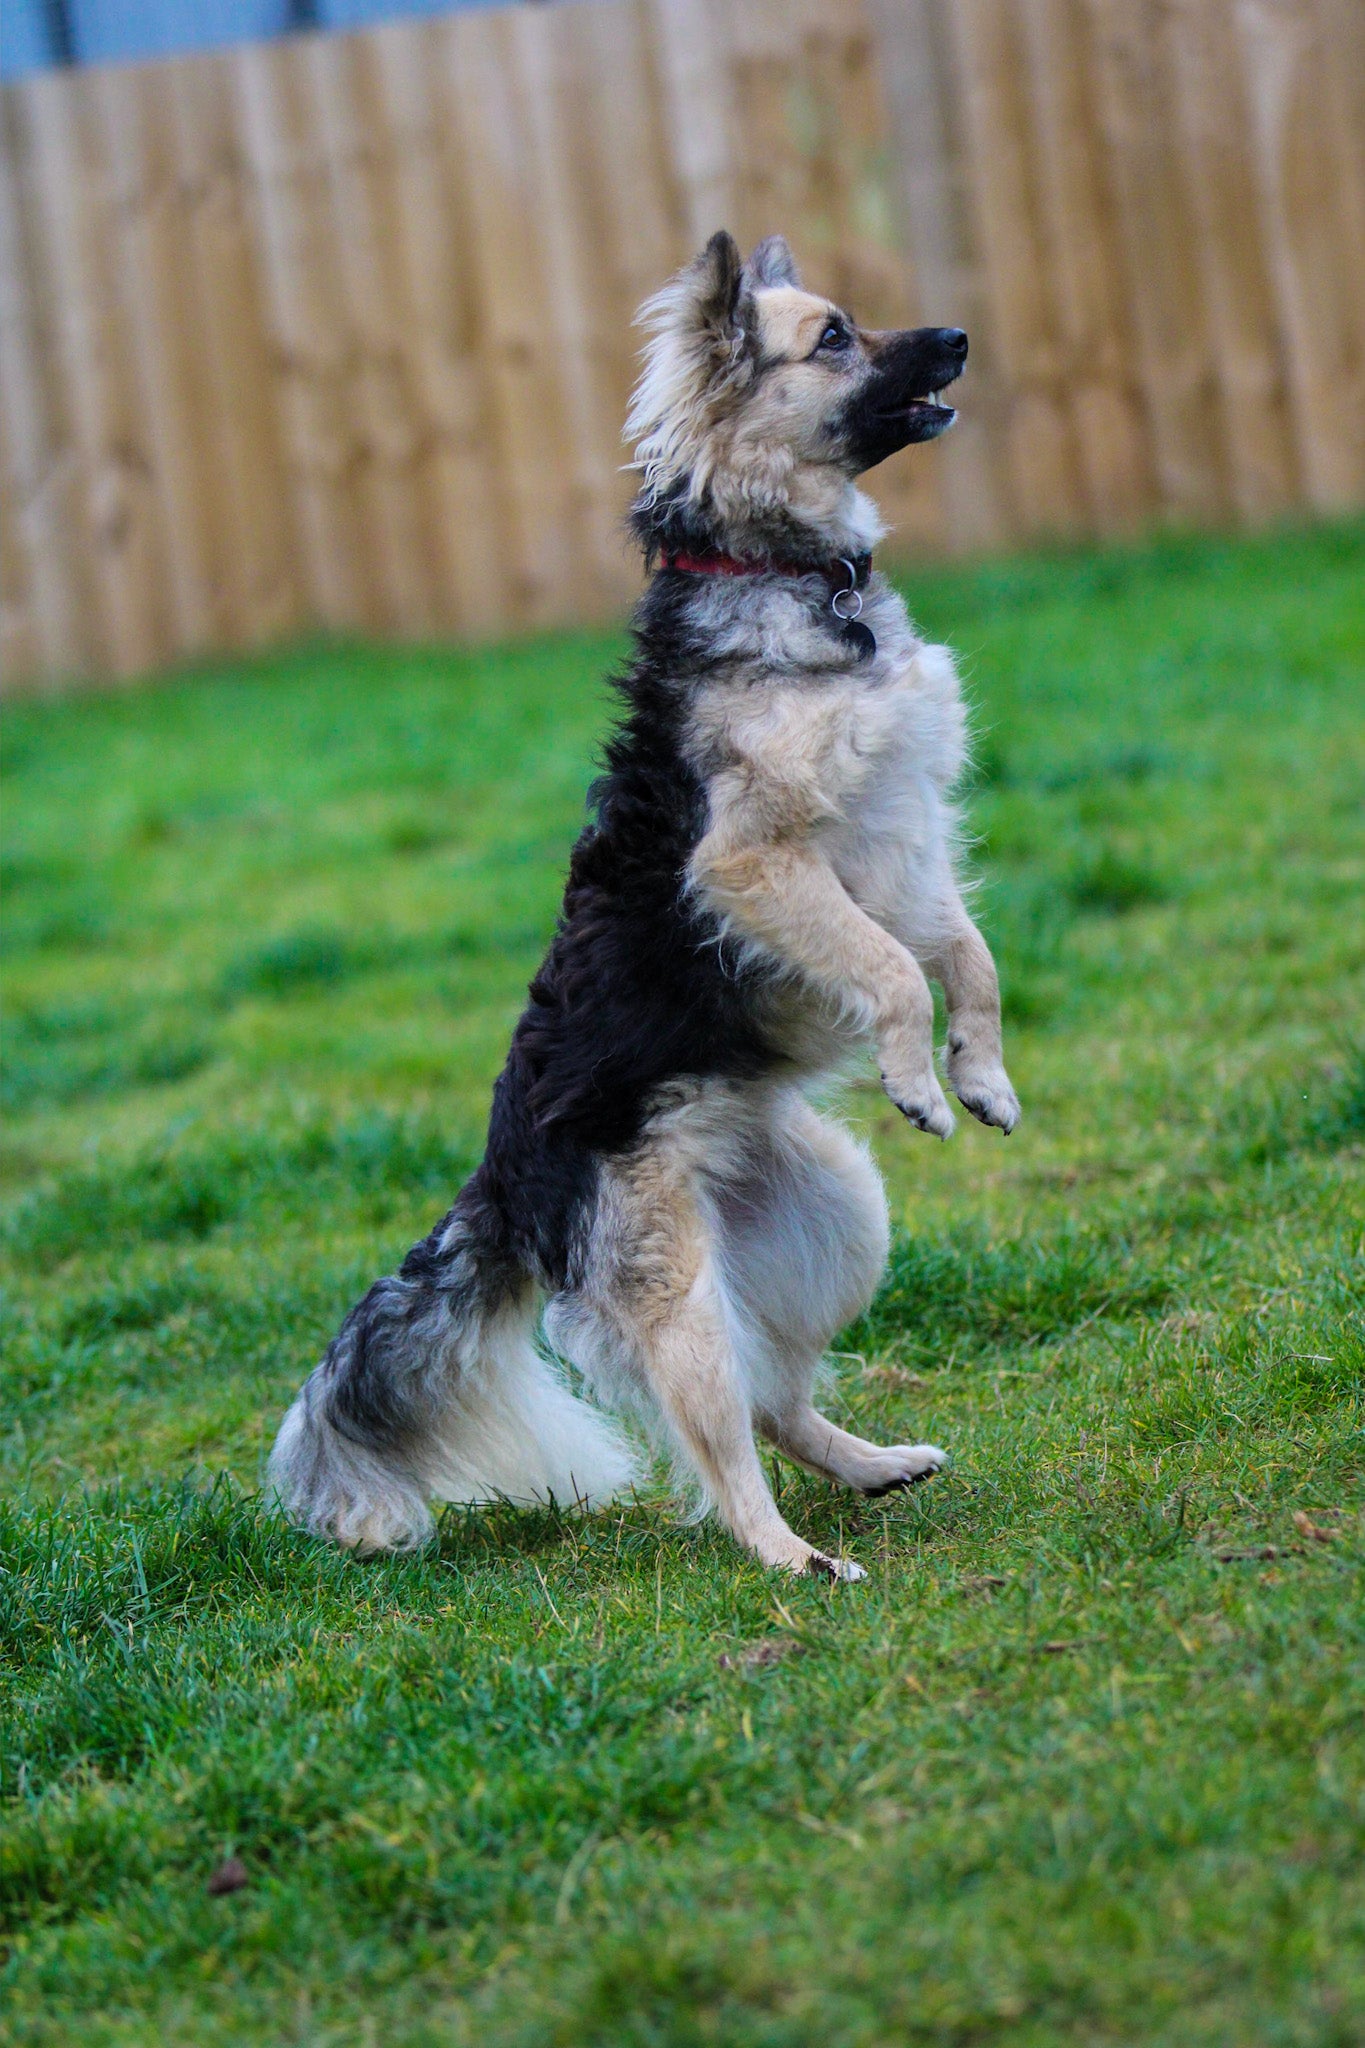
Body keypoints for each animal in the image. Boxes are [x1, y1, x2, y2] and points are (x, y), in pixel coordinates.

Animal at [270, 235, 1015, 1581]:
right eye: (834, 337)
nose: (960, 338)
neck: (782, 570)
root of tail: (504, 1181)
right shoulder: (758, 864)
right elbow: (890, 970)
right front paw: (920, 1079)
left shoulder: (901, 841)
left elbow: (965, 956)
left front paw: (982, 1076)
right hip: (680, 1298)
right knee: (723, 1443)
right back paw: (794, 1559)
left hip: (836, 1212)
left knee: (778, 1396)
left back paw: (874, 1467)